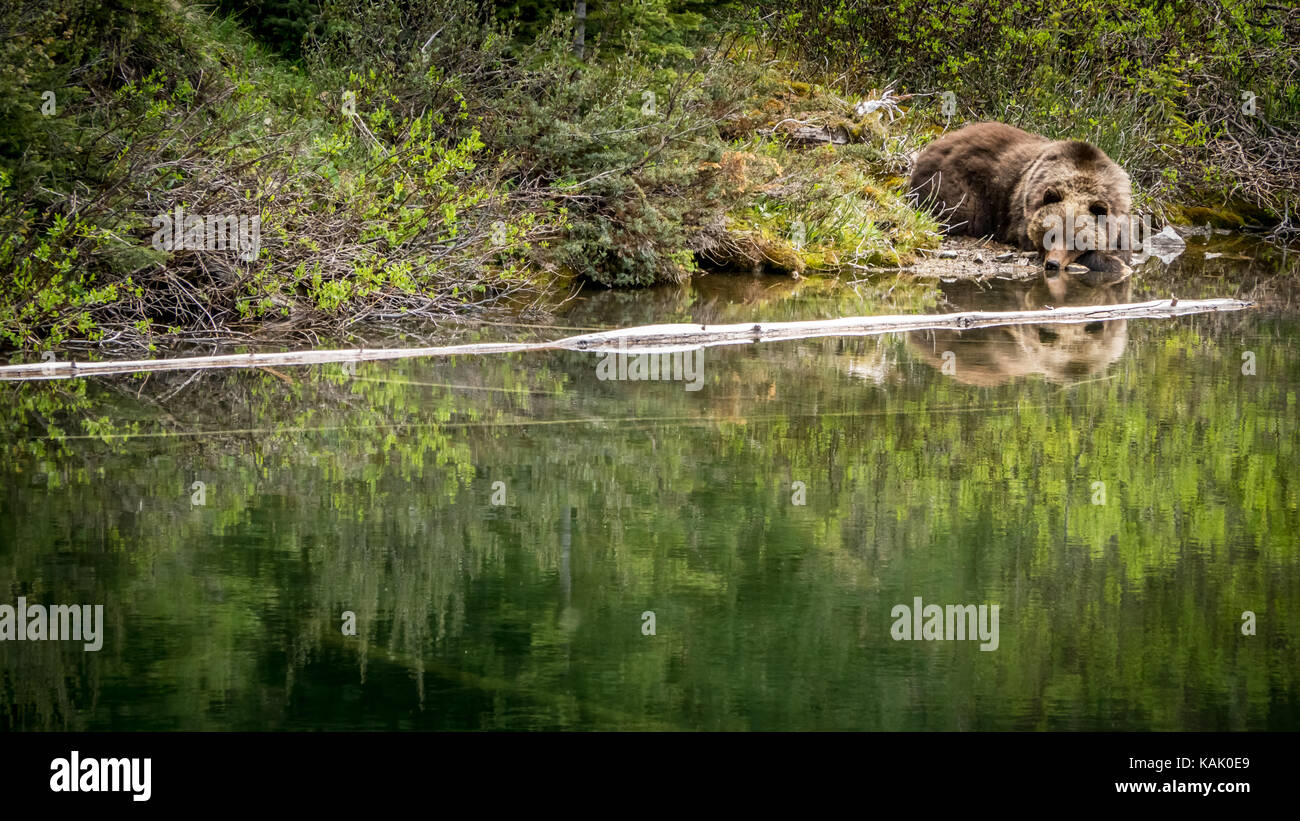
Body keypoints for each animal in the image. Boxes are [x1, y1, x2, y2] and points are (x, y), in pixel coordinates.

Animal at [909, 122, 1133, 275]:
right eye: (1051, 234)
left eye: (1075, 239)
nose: (1052, 264)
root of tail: (931, 147)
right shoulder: (1024, 211)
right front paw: (1116, 264)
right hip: (958, 186)